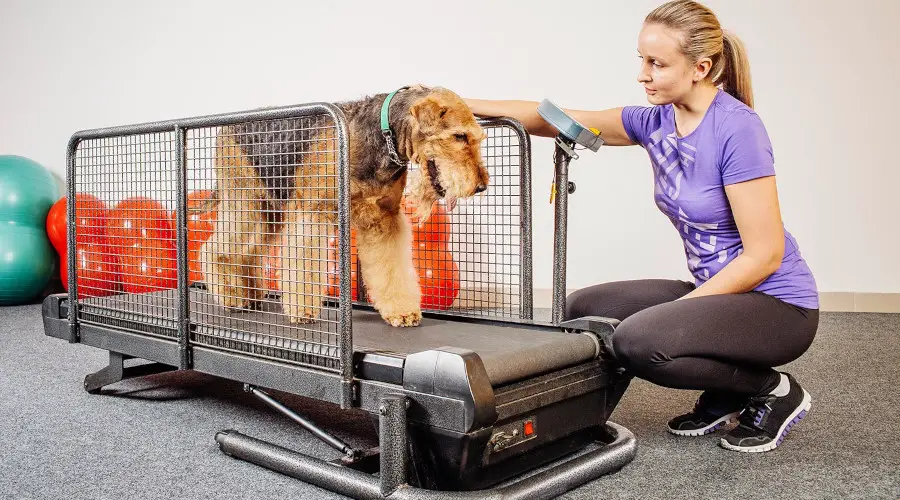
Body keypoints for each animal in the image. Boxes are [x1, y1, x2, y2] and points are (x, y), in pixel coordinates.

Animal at [200, 86, 488, 328]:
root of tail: (224, 129)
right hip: (244, 202)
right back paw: (231, 297)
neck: (383, 136)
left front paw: (402, 311)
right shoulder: (312, 214)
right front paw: (303, 312)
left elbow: (391, 269)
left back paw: (250, 295)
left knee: (249, 254)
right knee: (213, 249)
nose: (481, 186)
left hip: (268, 211)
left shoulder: (384, 220)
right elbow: (305, 267)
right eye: (459, 136)